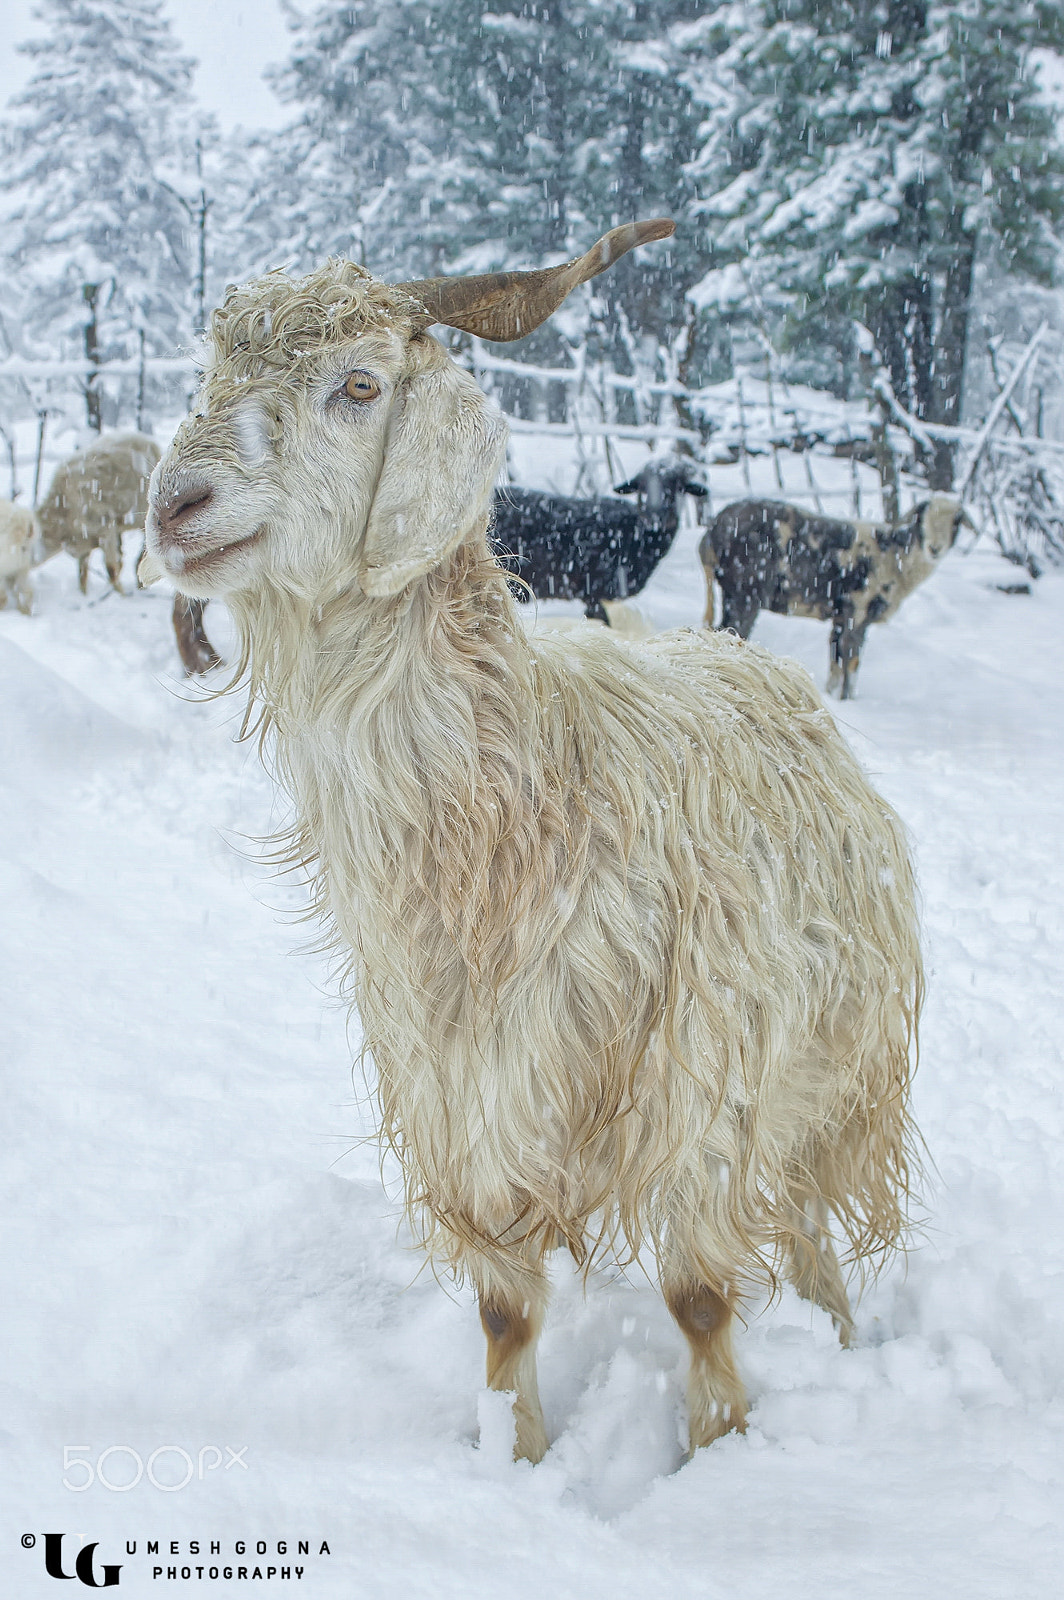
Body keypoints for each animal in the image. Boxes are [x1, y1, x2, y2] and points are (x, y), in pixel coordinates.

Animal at [39, 432, 160, 595]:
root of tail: (148, 440)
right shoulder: (83, 540)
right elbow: (82, 573)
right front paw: (83, 595)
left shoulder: (105, 527)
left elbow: (111, 569)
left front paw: (122, 596)